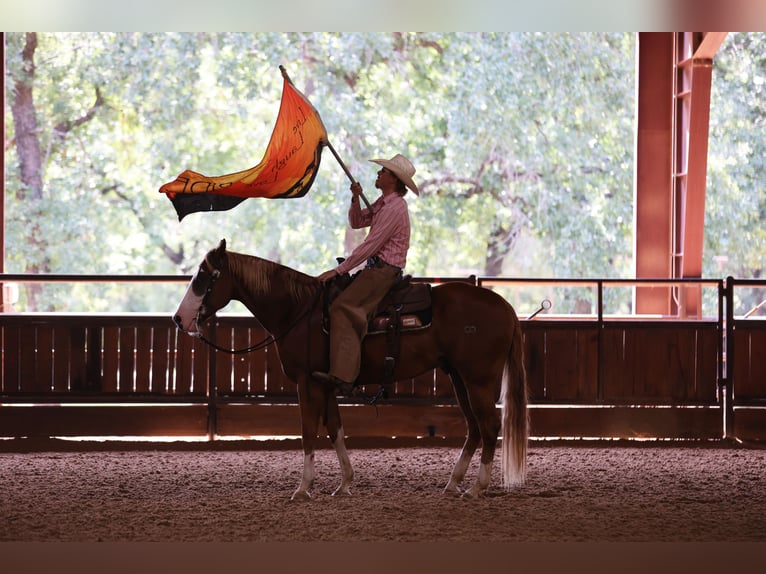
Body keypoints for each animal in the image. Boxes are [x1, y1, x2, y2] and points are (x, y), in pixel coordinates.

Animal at [173, 239, 529, 500]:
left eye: (204, 277)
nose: (179, 319)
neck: (298, 311)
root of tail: (506, 307)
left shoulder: (306, 382)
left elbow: (308, 430)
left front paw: (303, 488)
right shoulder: (327, 383)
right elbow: (335, 429)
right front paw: (344, 483)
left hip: (478, 380)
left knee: (489, 427)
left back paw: (476, 487)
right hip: (458, 377)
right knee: (473, 428)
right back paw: (454, 483)